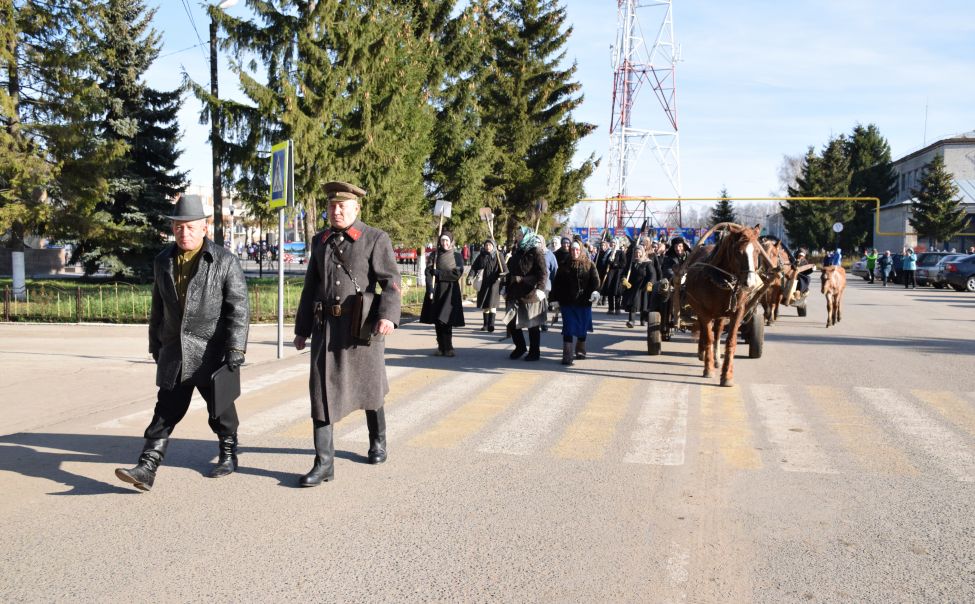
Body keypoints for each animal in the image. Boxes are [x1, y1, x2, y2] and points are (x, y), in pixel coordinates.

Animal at [680, 223, 776, 386]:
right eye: (738, 252)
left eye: (757, 251)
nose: (750, 283)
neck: (721, 280)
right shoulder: (704, 312)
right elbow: (708, 337)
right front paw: (708, 369)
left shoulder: (737, 311)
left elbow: (730, 341)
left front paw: (727, 375)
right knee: (706, 332)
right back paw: (704, 354)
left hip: (721, 314)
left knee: (718, 331)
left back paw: (717, 359)